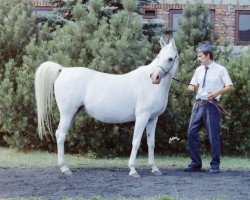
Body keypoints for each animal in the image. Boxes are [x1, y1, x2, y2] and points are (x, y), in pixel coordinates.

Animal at [35, 36, 179, 177]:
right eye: (158, 56)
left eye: (170, 58)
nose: (155, 77)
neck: (151, 86)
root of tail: (63, 70)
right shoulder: (142, 116)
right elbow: (136, 141)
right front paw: (133, 170)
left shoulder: (152, 119)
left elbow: (151, 143)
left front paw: (154, 169)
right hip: (67, 113)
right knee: (61, 135)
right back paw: (65, 168)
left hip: (73, 113)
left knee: (59, 133)